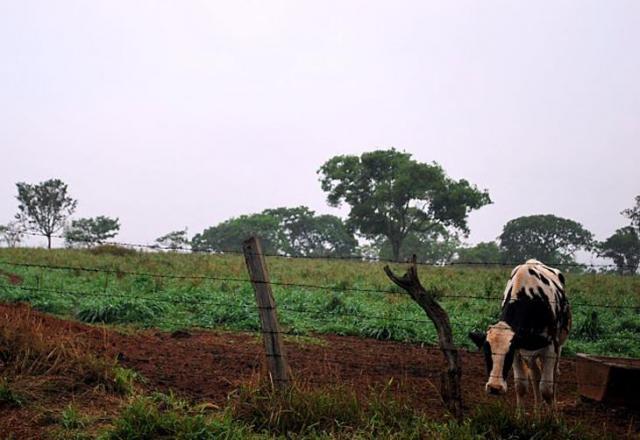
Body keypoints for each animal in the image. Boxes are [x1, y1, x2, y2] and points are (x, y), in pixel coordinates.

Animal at [470, 258, 568, 410]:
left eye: (508, 354)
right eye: (486, 353)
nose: (494, 388)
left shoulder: (550, 347)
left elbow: (547, 389)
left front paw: (553, 416)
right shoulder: (519, 348)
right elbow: (521, 386)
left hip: (559, 343)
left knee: (554, 375)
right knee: (535, 375)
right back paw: (537, 410)